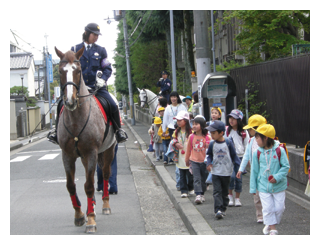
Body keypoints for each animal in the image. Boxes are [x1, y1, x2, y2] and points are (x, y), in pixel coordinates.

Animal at [55, 46, 116, 234]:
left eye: (78, 70)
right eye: (60, 71)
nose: (70, 101)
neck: (76, 119)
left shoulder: (91, 153)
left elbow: (89, 185)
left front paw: (90, 220)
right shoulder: (67, 155)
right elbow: (71, 185)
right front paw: (80, 215)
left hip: (108, 149)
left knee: (105, 174)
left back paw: (105, 205)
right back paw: (93, 206)